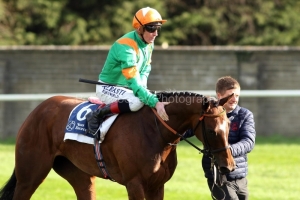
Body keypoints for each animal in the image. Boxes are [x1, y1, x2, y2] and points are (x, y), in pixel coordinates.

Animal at [0, 91, 234, 199]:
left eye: (230, 125)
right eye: (213, 131)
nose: (228, 167)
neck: (155, 132)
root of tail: (38, 109)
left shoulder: (157, 185)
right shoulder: (134, 184)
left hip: (80, 175)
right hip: (30, 176)